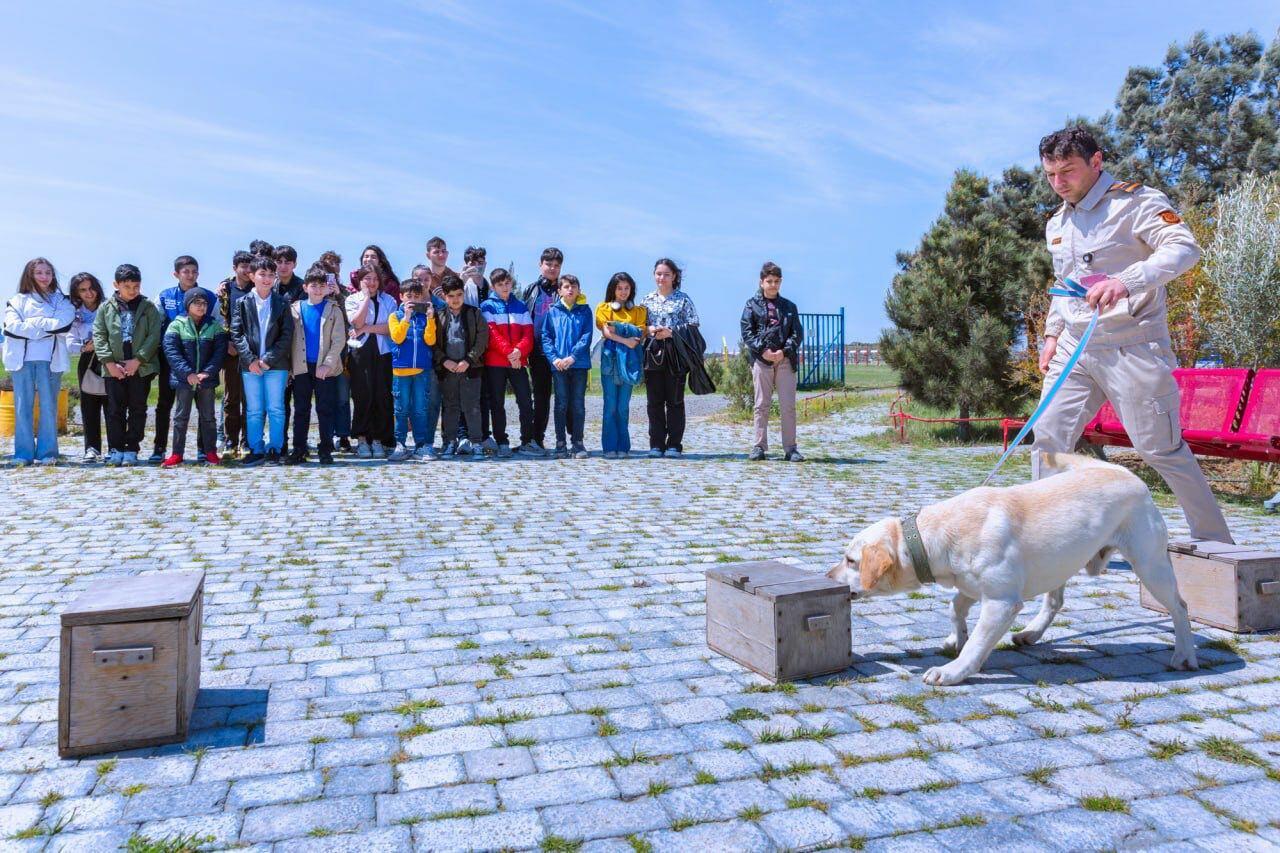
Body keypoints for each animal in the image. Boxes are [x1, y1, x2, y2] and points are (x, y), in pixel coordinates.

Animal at [827, 452, 1198, 685]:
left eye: (850, 560)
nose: (828, 577)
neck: (935, 534)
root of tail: (1126, 472)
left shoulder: (1001, 602)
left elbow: (977, 644)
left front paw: (953, 671)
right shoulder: (971, 586)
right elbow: (955, 607)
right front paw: (955, 637)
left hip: (1150, 565)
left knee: (1181, 607)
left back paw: (1185, 655)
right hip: (1061, 561)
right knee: (1055, 602)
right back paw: (1031, 634)